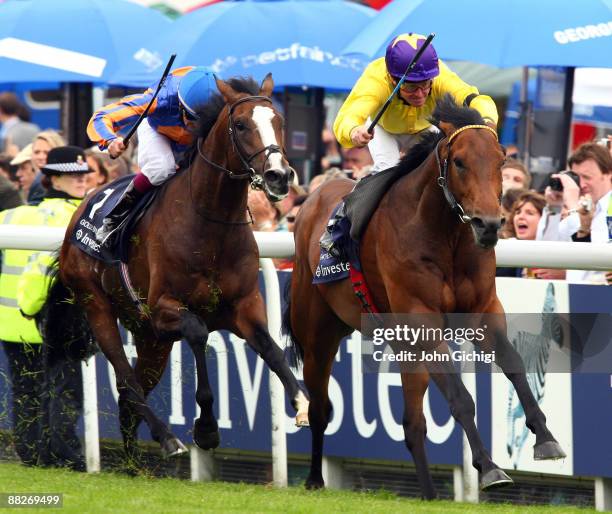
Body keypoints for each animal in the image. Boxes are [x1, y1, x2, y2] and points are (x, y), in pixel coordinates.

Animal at [55, 74, 308, 462]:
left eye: (279, 121)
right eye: (240, 124)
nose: (279, 176)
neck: (211, 225)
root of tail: (77, 215)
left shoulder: (245, 306)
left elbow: (273, 350)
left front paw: (301, 401)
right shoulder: (164, 308)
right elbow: (199, 333)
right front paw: (206, 429)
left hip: (150, 339)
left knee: (131, 395)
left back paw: (133, 464)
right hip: (98, 306)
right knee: (128, 383)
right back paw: (168, 439)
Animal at [284, 96, 568, 496]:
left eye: (501, 160)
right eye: (460, 161)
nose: (488, 225)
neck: (444, 235)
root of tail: (310, 201)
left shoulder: (483, 310)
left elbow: (513, 364)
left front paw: (545, 438)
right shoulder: (423, 321)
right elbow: (461, 398)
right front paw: (489, 468)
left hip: (402, 345)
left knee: (412, 423)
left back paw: (430, 493)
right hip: (318, 336)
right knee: (320, 408)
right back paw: (313, 479)